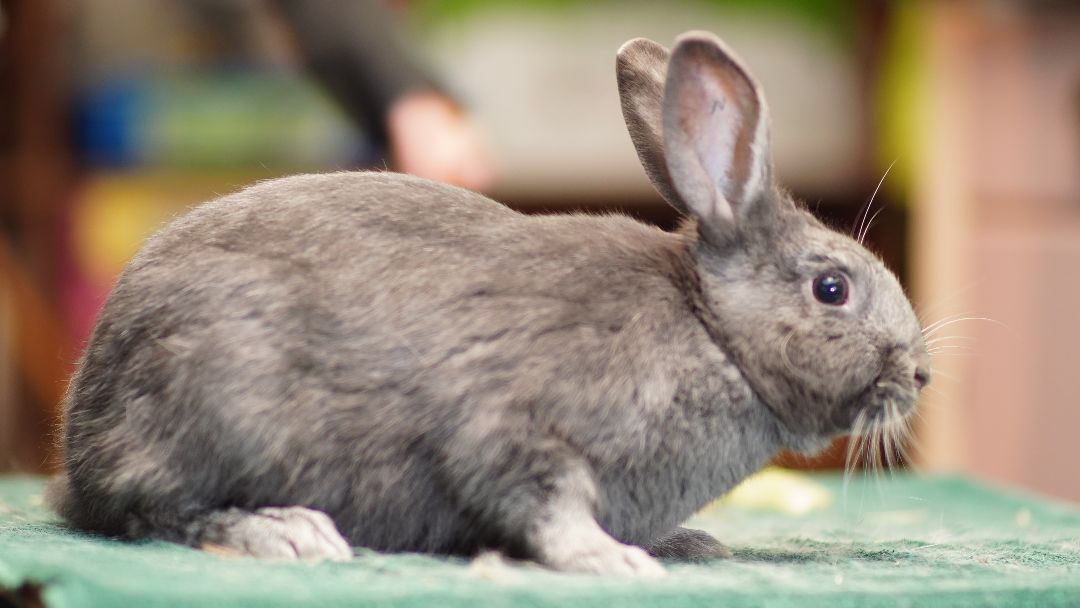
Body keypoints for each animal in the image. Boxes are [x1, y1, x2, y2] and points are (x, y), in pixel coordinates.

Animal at [49, 31, 930, 577]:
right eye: (832, 289)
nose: (921, 375)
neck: (712, 332)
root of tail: (81, 437)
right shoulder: (517, 432)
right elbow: (543, 504)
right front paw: (612, 560)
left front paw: (685, 542)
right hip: (210, 400)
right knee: (149, 510)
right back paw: (284, 531)